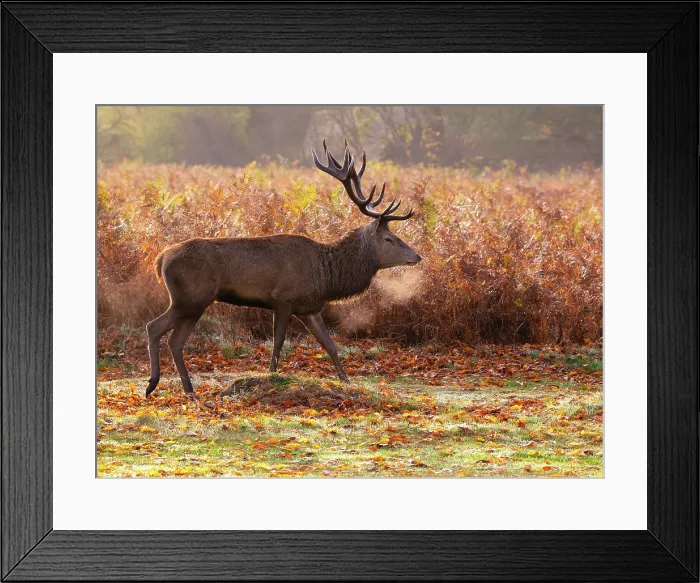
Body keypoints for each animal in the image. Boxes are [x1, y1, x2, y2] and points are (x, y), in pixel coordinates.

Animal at [145, 140, 422, 396]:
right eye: (389, 239)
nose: (417, 256)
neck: (328, 276)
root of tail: (161, 258)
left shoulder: (310, 308)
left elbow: (330, 345)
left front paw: (346, 381)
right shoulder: (283, 299)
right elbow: (278, 342)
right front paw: (271, 376)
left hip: (194, 303)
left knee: (175, 341)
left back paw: (187, 388)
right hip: (190, 297)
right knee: (154, 327)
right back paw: (152, 384)